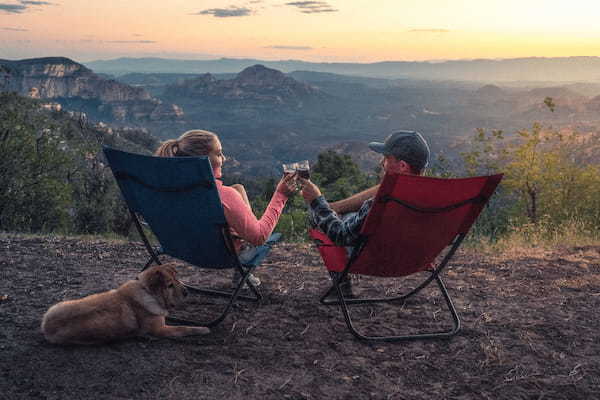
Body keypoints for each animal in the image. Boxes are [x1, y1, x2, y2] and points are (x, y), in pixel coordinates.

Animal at [39, 262, 209, 344]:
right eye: (169, 285)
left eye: (177, 279)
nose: (186, 292)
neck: (148, 292)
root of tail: (47, 327)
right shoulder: (160, 330)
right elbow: (184, 327)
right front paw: (202, 329)